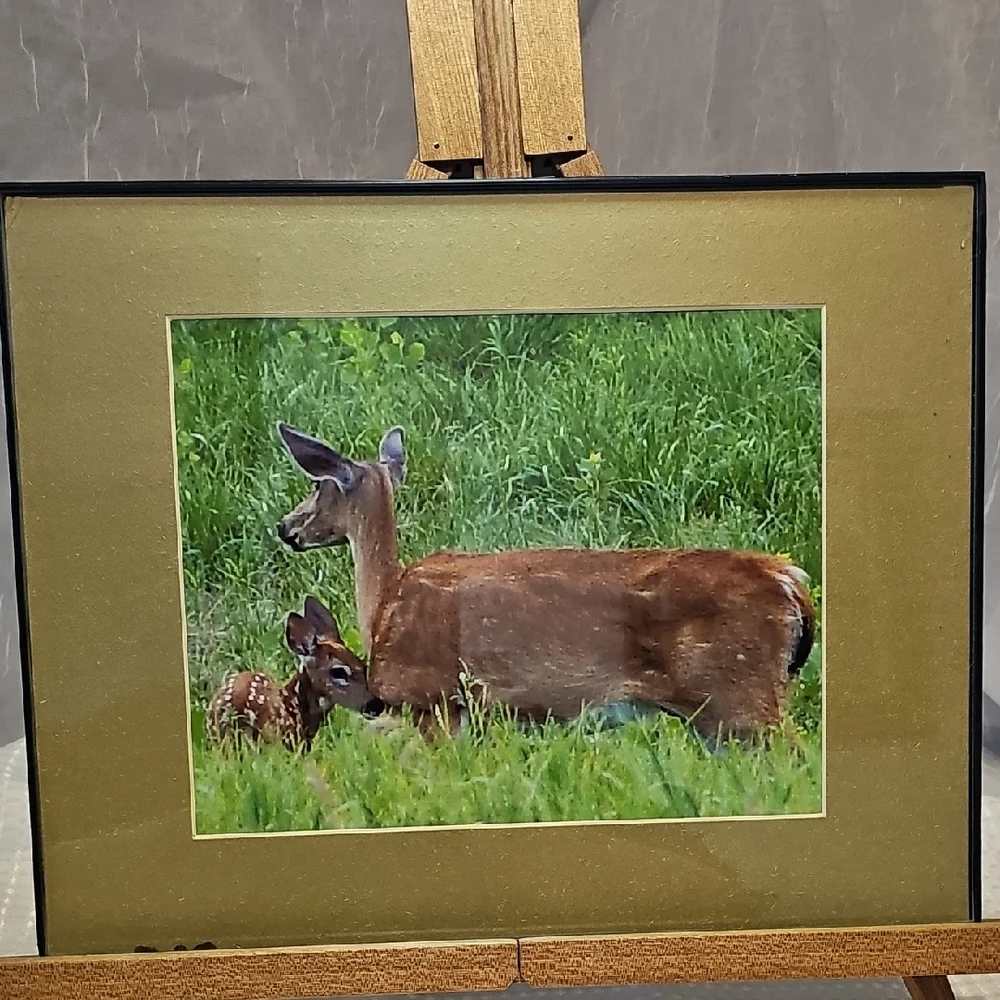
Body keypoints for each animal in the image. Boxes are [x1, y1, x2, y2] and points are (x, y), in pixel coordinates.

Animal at [274, 423, 816, 745]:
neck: (384, 604)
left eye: (318, 485)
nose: (285, 527)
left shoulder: (431, 699)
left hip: (740, 696)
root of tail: (791, 581)